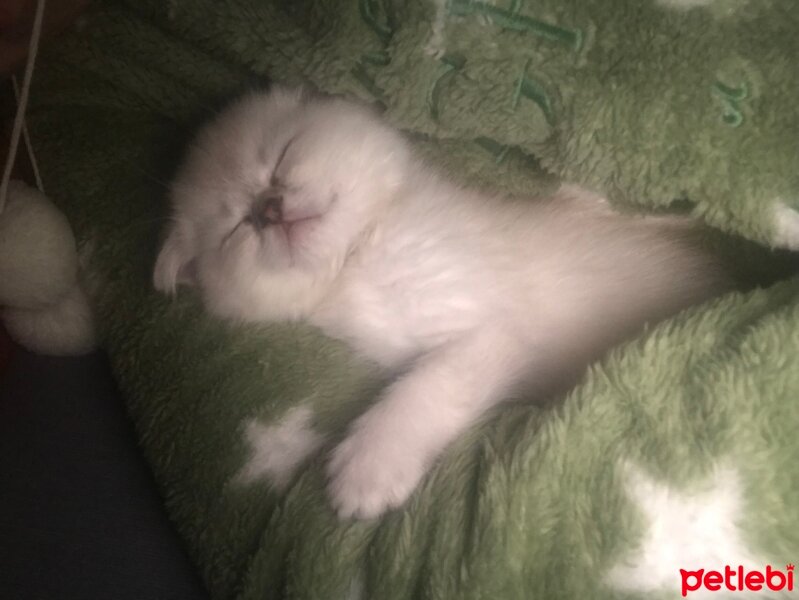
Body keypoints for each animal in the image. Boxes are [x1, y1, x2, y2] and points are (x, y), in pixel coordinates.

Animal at [152, 85, 732, 520]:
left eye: (282, 157)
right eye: (235, 229)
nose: (268, 209)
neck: (364, 248)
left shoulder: (495, 331)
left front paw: (367, 466)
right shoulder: (460, 339)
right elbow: (426, 383)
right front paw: (371, 467)